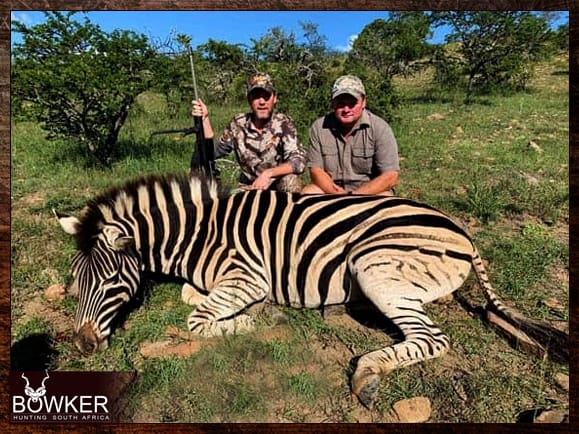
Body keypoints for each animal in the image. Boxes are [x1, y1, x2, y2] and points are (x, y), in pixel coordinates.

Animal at [56, 172, 568, 406]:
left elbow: (197, 318)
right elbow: (189, 296)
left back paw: (367, 374)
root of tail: (462, 232)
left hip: (374, 265)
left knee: (432, 338)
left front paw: (254, 319)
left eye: (108, 281)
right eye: (75, 282)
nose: (82, 346)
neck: (198, 235)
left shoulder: (248, 274)